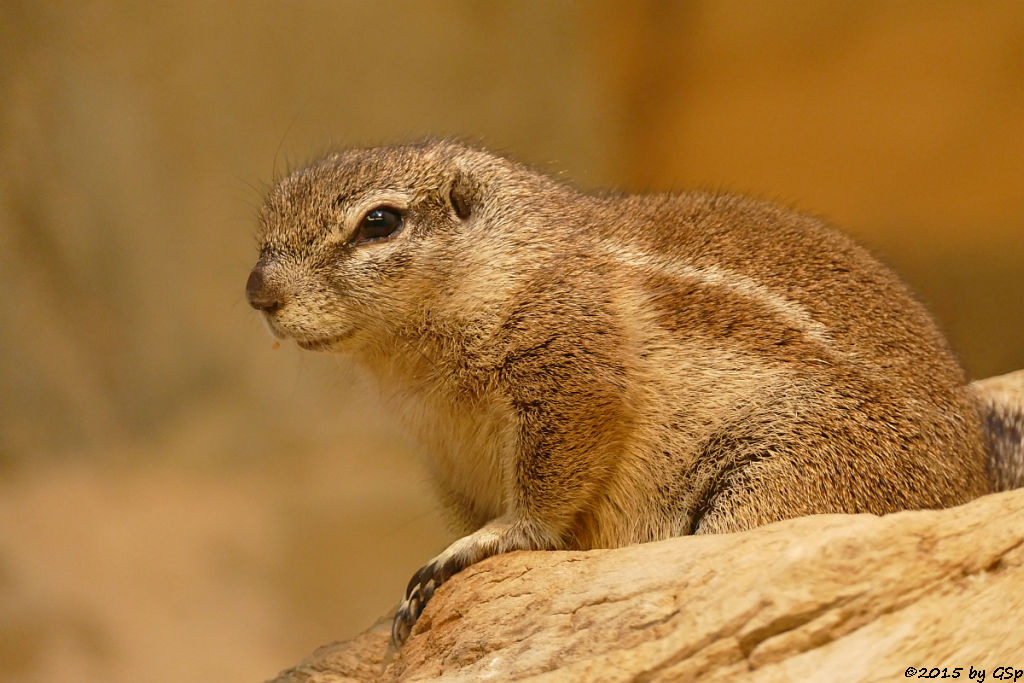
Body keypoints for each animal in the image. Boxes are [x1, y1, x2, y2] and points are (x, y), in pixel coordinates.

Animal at [247, 139, 991, 647]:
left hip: (783, 477)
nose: (258, 292)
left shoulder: (572, 373)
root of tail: (972, 481)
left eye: (379, 222)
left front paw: (485, 544)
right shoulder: (448, 461)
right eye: (266, 224)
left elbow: (542, 498)